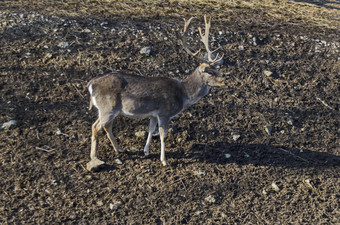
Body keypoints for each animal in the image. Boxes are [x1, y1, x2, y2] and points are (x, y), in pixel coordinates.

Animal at [87, 15, 226, 171]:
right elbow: (162, 136)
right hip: (107, 108)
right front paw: (164, 160)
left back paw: (120, 149)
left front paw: (146, 151)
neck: (183, 95)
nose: (224, 80)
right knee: (95, 127)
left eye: (217, 69)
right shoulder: (164, 112)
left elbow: (150, 130)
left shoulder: (153, 114)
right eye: (210, 72)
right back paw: (94, 158)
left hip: (111, 110)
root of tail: (91, 84)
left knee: (106, 126)